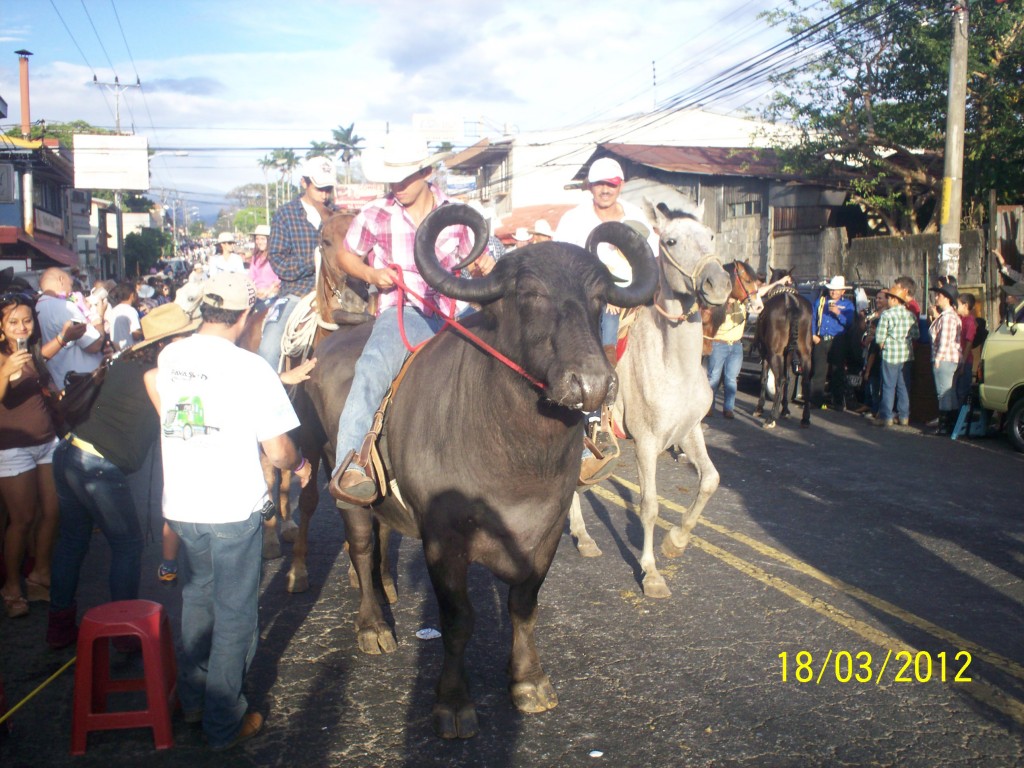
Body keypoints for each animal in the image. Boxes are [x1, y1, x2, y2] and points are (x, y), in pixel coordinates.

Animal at [303, 204, 655, 741]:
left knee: (382, 537)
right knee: (361, 548)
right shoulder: (443, 538)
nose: (592, 384)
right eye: (529, 293)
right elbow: (458, 620)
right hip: (339, 480)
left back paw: (387, 588)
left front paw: (528, 681)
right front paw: (452, 701)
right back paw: (373, 625)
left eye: (598, 298)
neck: (516, 458)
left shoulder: (548, 530)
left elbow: (524, 604)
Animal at [573, 198, 733, 602]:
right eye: (671, 241)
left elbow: (710, 480)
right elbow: (649, 506)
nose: (718, 284)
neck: (673, 364)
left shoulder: (688, 432)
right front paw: (652, 573)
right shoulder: (646, 443)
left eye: (710, 235)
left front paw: (675, 542)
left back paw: (583, 538)